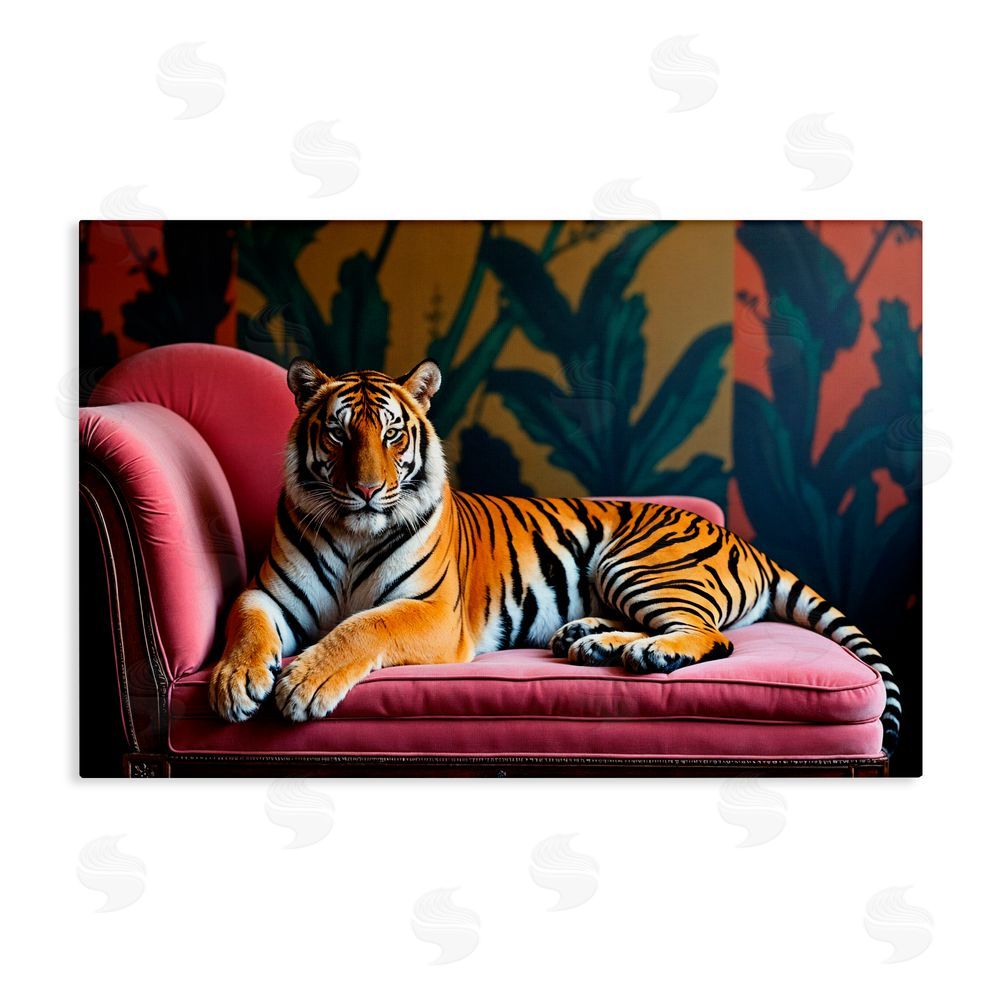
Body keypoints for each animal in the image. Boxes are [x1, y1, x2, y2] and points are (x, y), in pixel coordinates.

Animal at [209, 357, 902, 755]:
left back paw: (649, 653)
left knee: (712, 635)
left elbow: (363, 627)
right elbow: (244, 622)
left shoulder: (430, 611)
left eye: (393, 434)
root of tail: (740, 537)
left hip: (636, 562)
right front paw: (234, 682)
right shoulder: (267, 592)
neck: (352, 533)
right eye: (337, 432)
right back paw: (590, 640)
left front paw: (303, 683)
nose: (367, 490)